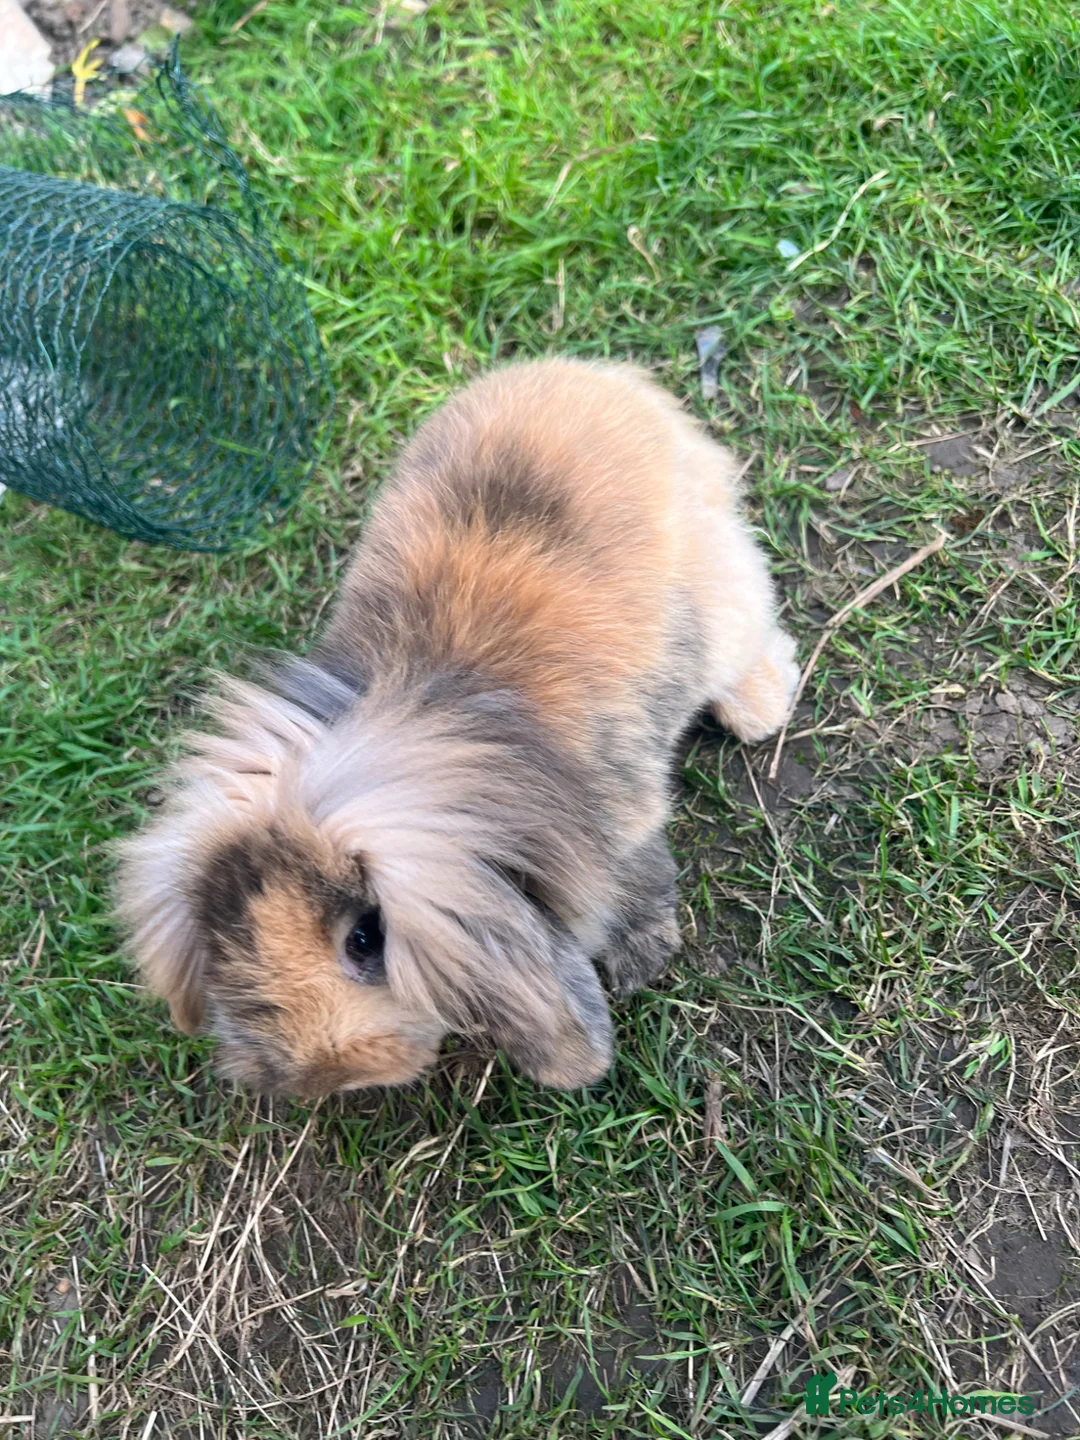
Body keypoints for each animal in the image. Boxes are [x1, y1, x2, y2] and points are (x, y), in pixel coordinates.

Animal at [116, 357, 799, 1098]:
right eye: (232, 948)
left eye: (364, 940)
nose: (328, 1075)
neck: (442, 724)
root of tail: (597, 375)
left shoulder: (623, 825)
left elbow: (640, 885)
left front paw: (637, 965)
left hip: (722, 594)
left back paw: (761, 709)